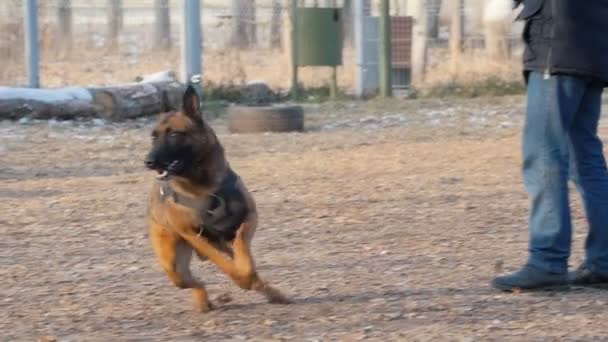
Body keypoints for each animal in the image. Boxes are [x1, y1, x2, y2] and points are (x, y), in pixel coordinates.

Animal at [146, 86, 290, 312]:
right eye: (154, 137)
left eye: (174, 134)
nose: (149, 161)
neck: (204, 187)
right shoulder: (195, 236)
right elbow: (224, 264)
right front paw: (241, 278)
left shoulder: (249, 217)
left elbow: (242, 249)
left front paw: (246, 274)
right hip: (174, 267)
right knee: (197, 282)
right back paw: (205, 301)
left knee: (248, 271)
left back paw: (274, 293)